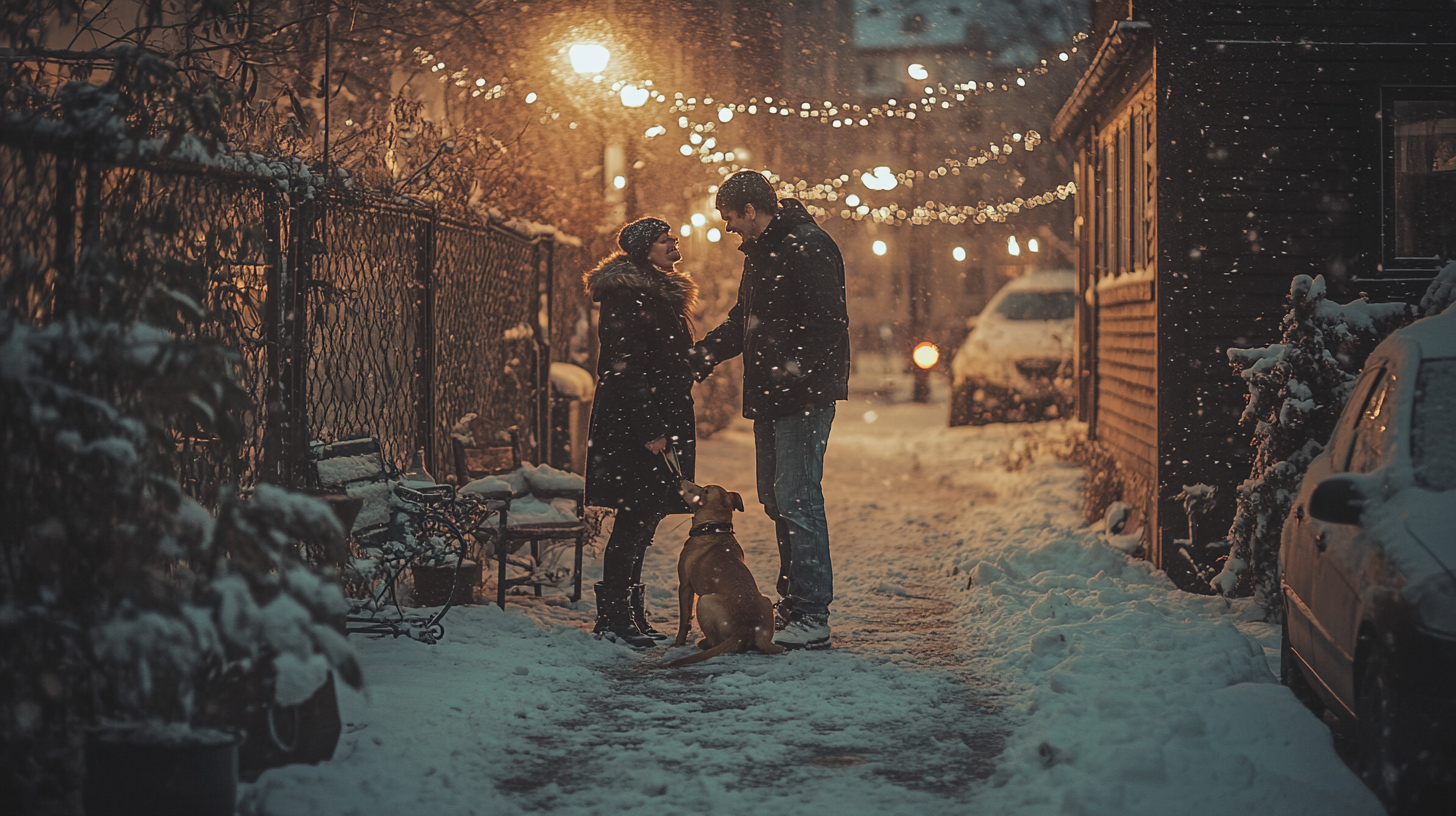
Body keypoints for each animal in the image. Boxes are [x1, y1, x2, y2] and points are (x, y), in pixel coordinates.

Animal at [666, 480, 786, 667]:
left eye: (705, 490)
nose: (680, 479)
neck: (713, 528)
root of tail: (746, 627)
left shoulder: (685, 586)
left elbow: (684, 620)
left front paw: (678, 643)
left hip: (704, 601)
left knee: (714, 642)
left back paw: (702, 643)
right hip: (766, 600)